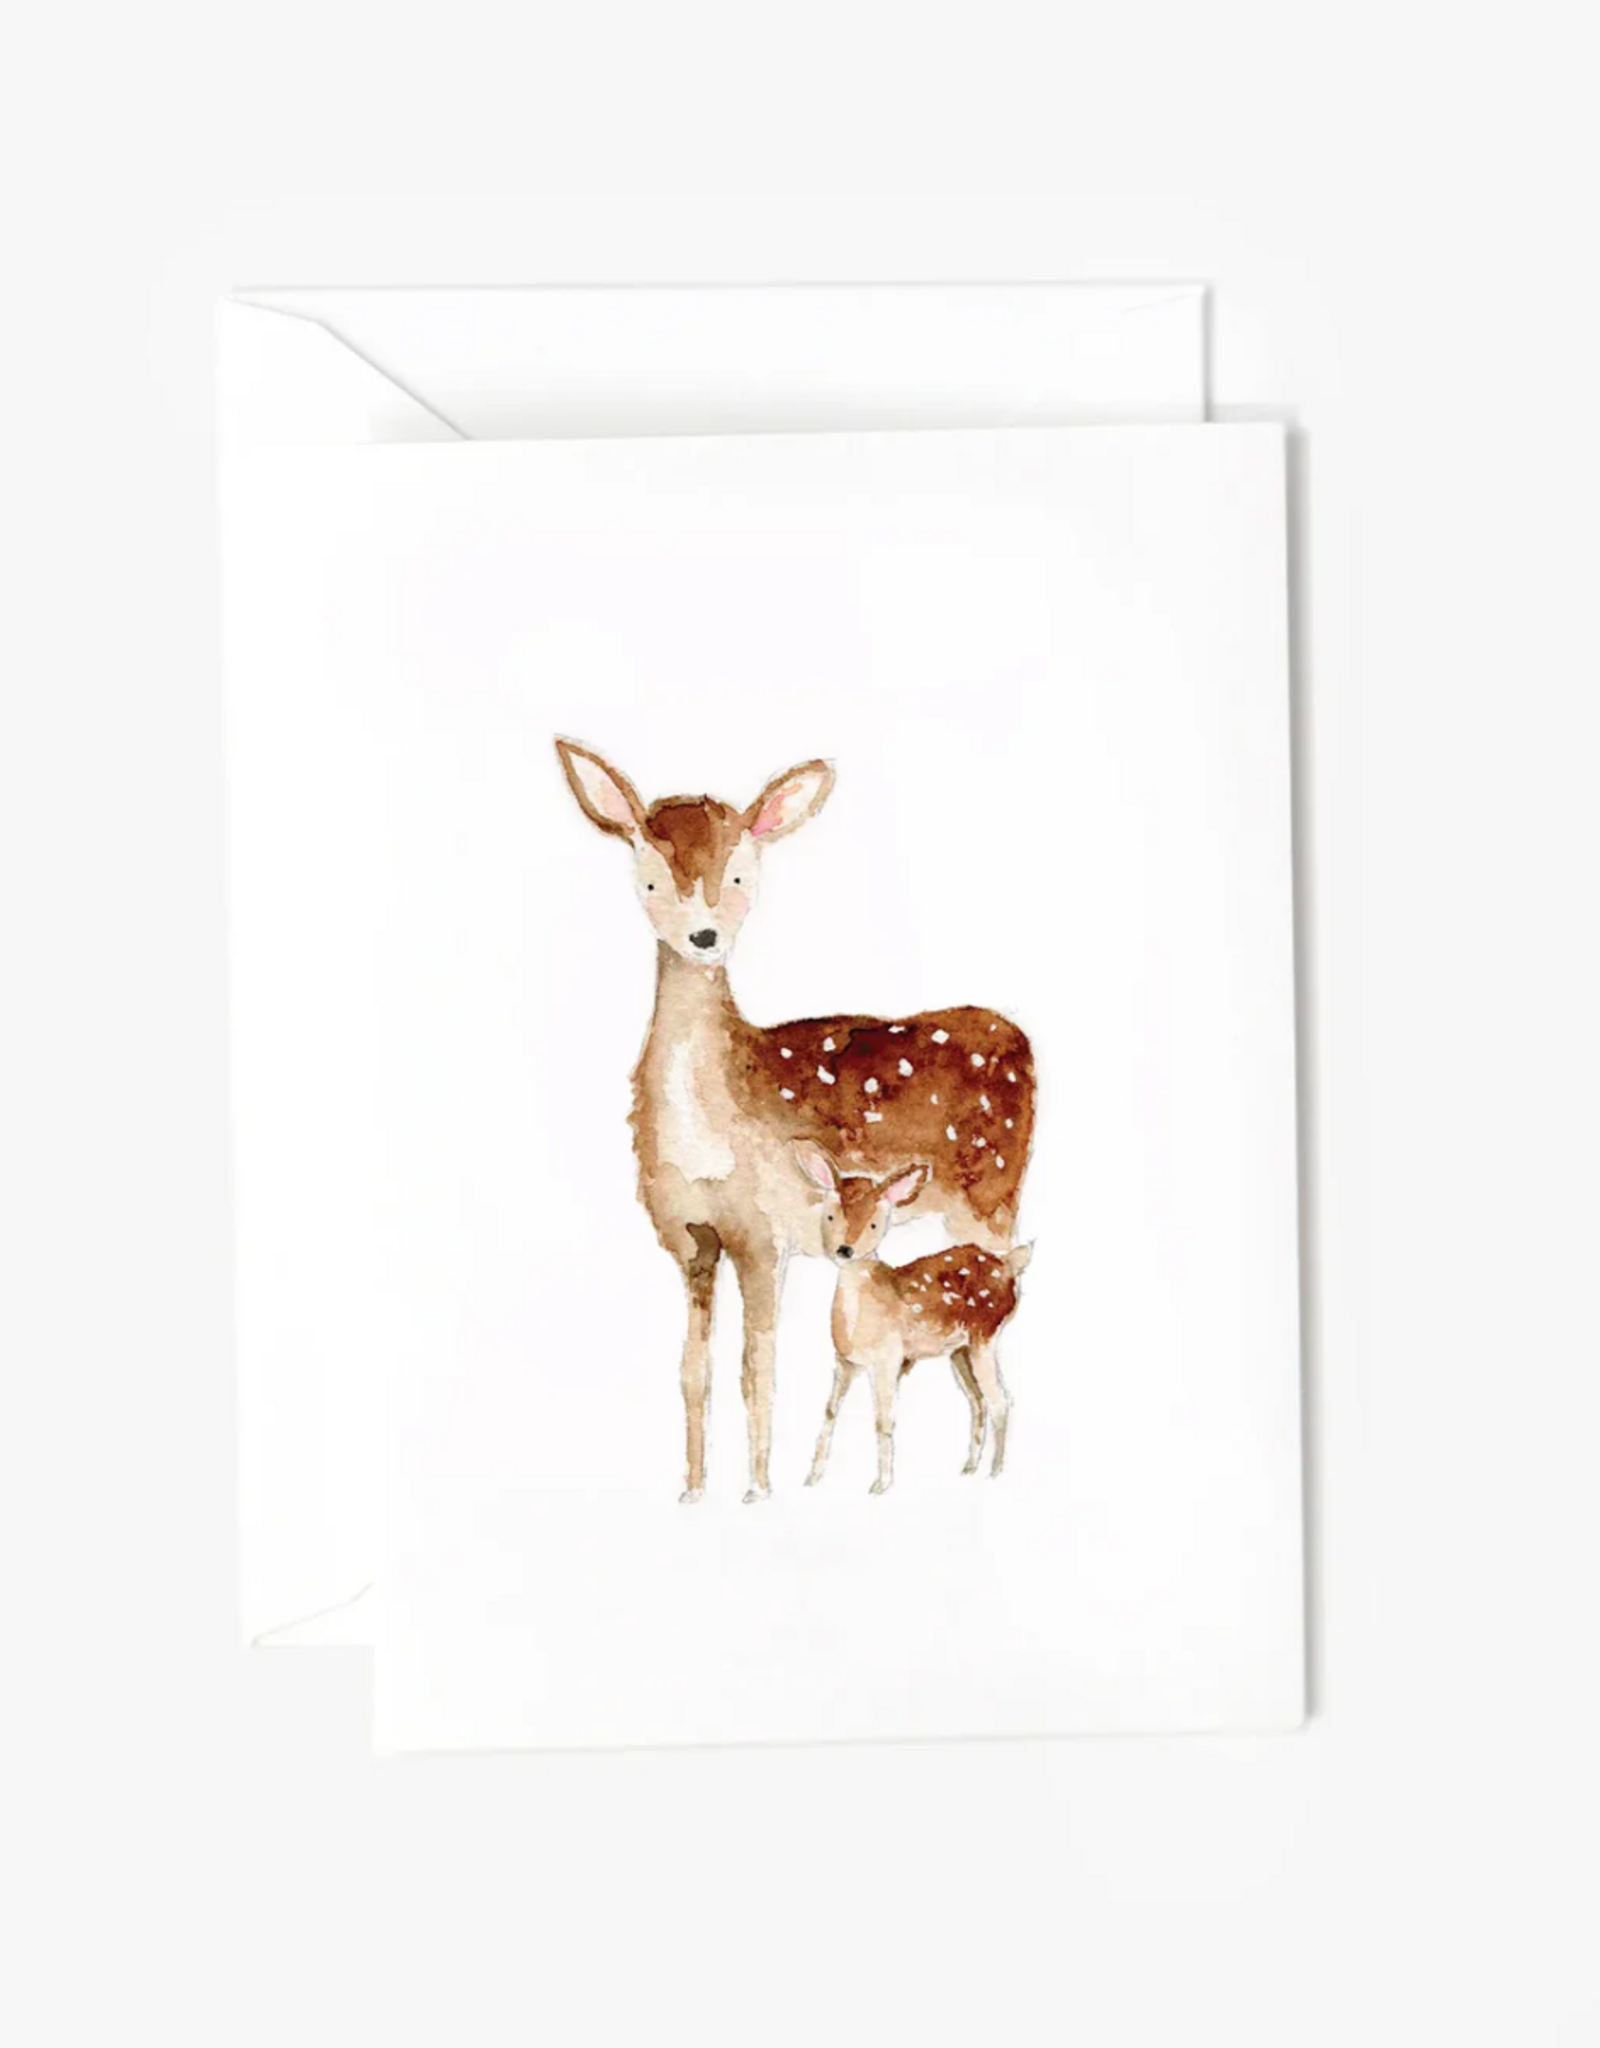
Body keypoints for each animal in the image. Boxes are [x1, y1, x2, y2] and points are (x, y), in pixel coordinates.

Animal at [791, 1143, 1032, 1492]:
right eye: (831, 1215)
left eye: (875, 1224)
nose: (845, 1250)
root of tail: (1010, 1264)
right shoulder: (844, 1359)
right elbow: (830, 1411)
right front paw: (811, 1478)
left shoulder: (889, 1357)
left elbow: (883, 1419)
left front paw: (880, 1485)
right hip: (959, 1351)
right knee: (978, 1401)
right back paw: (969, 1468)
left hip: (984, 1336)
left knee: (1001, 1400)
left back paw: (995, 1473)